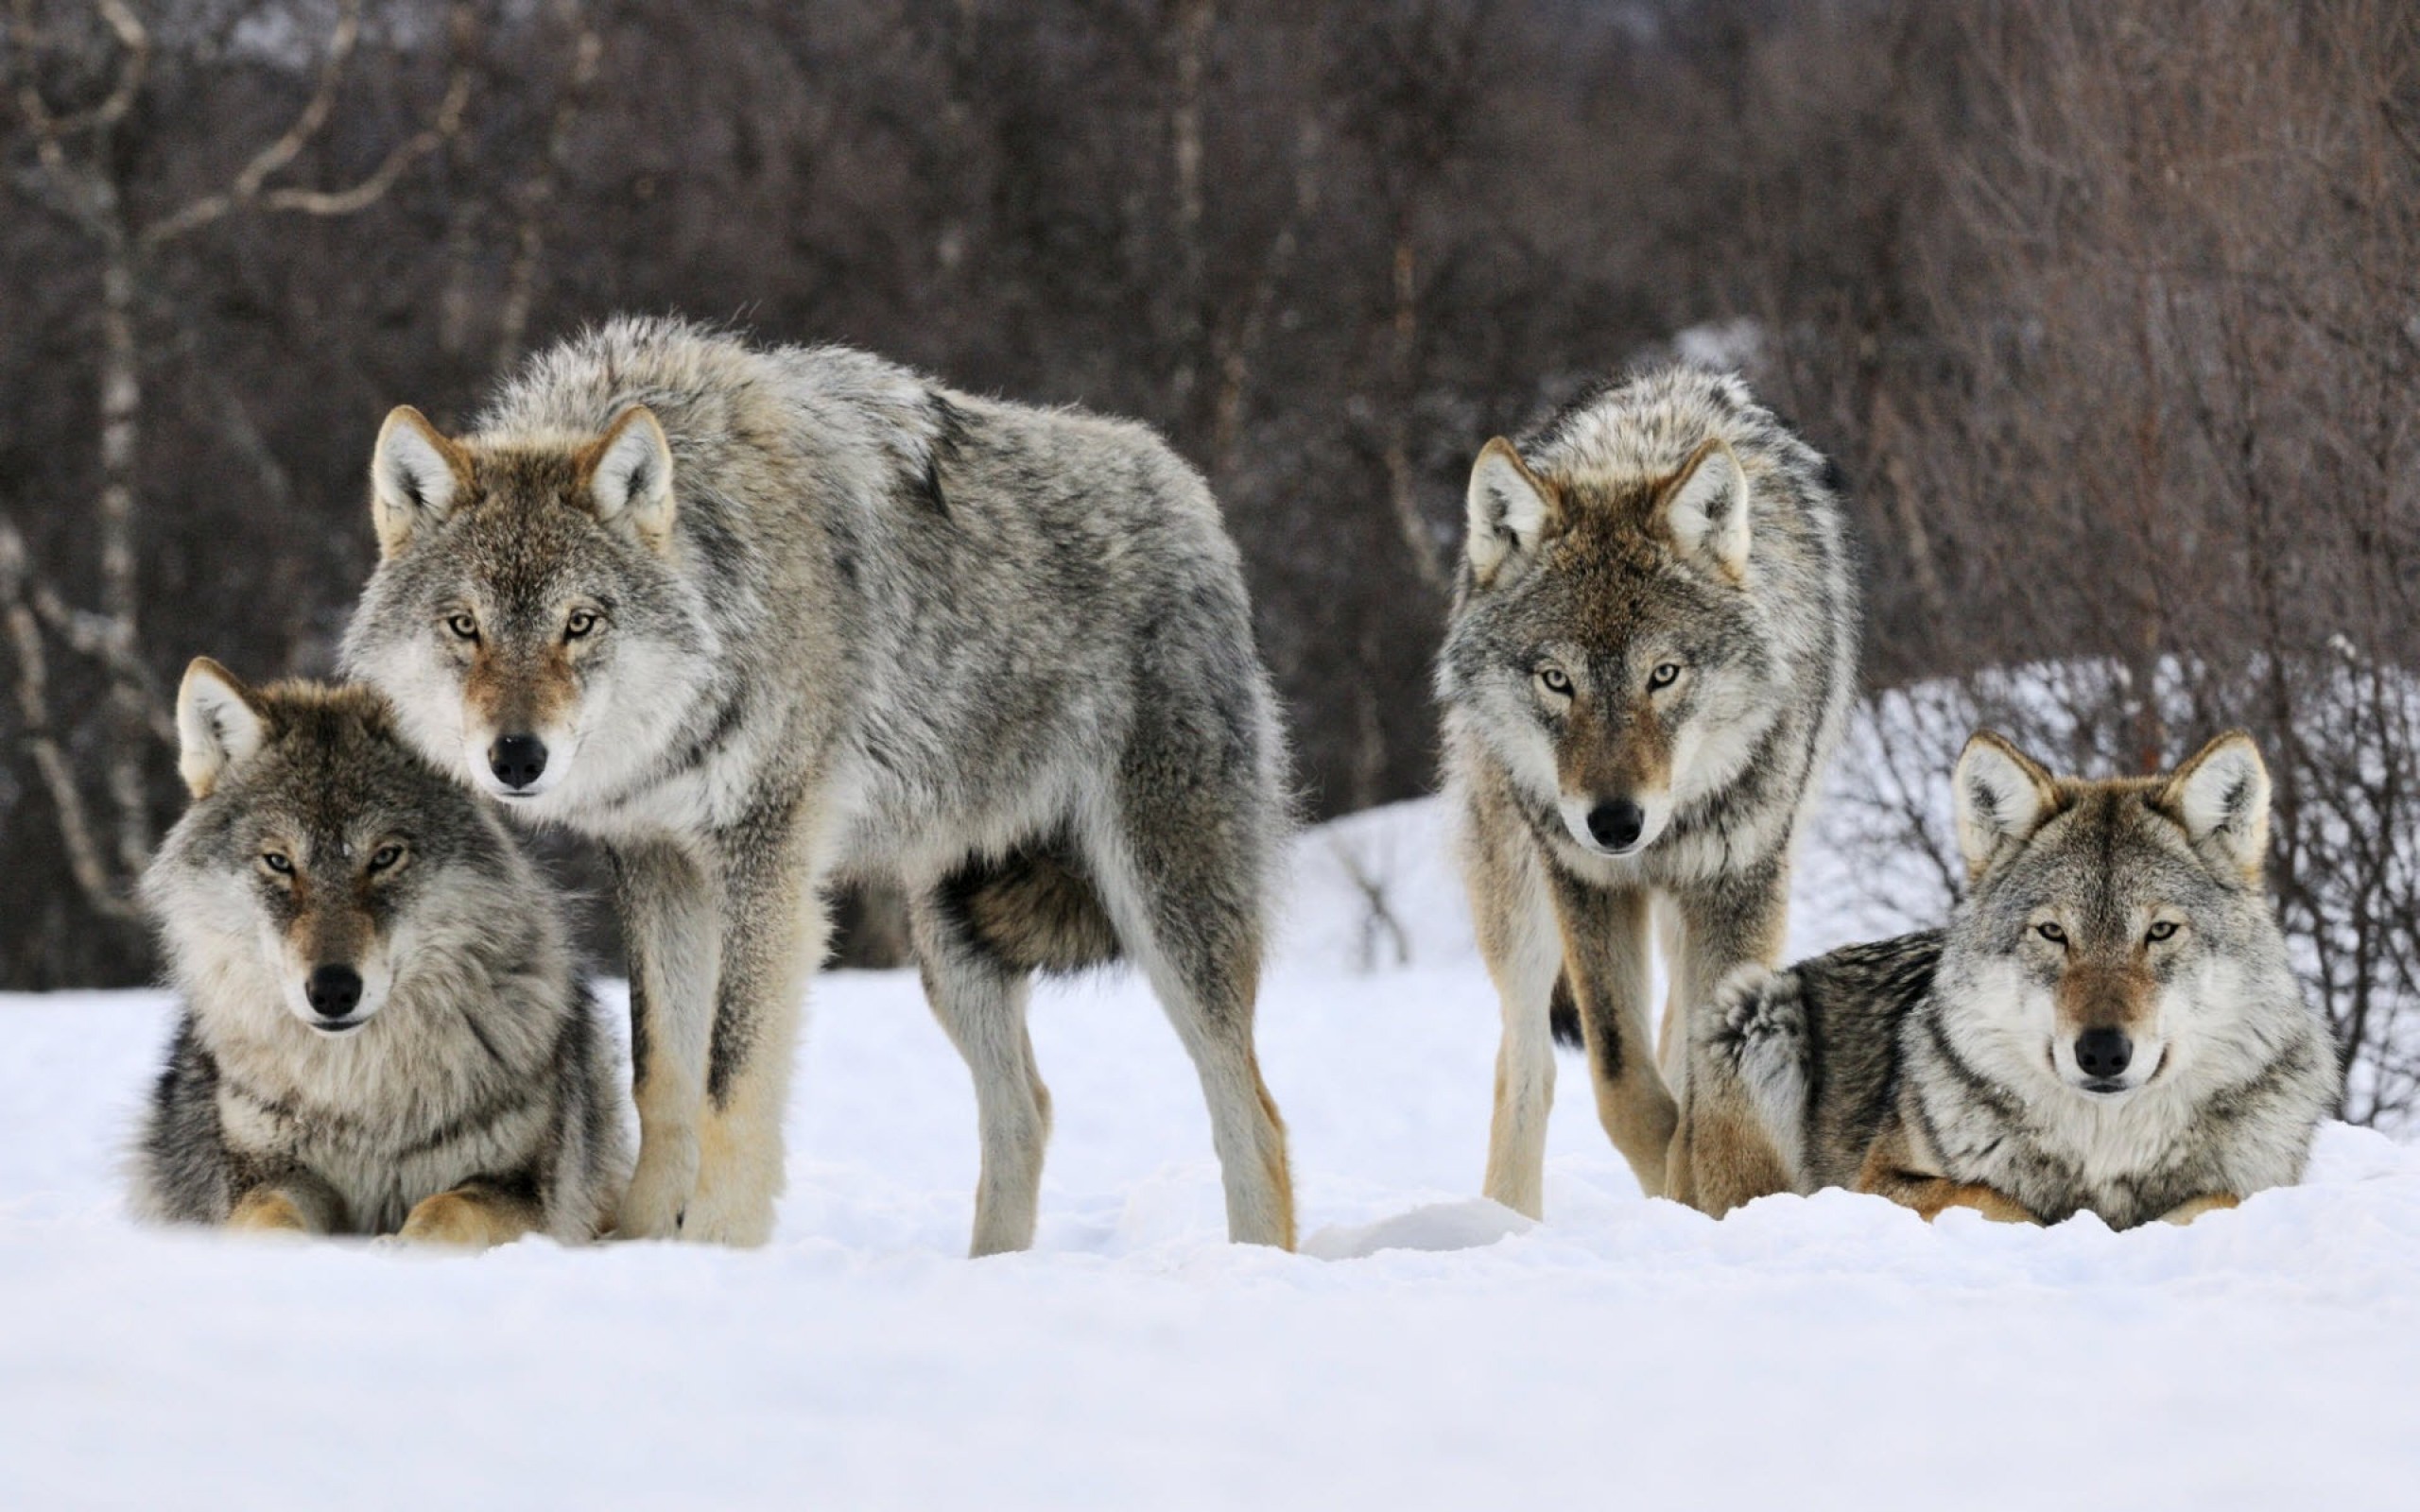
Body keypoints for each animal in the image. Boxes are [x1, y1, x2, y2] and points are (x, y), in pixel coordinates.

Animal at [133, 658, 629, 1238]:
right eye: (279, 862)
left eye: (385, 856)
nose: (332, 990)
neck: (361, 1095)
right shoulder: (268, 1173)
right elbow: (269, 1219)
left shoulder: (518, 1187)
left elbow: (444, 1210)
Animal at [340, 314, 1297, 1247]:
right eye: (465, 625)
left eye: (580, 623)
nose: (516, 758)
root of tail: (1190, 493)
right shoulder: (658, 863)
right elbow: (663, 1078)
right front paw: (642, 1244)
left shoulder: (767, 861)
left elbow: (730, 1083)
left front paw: (714, 1251)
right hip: (953, 943)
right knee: (1026, 1110)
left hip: (1165, 909)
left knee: (1254, 1117)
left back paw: (1253, 1264)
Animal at [1432, 365, 1848, 1214]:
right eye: (1557, 680)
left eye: (1664, 674)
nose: (1616, 823)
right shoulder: (1587, 882)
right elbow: (1623, 1084)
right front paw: (1675, 1190)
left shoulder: (1740, 883)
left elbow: (1704, 1086)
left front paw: (1707, 1192)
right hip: (1517, 896)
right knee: (1526, 1062)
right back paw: (1504, 1221)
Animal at [1703, 730, 2342, 1228]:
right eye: (2053, 933)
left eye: (2160, 931)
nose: (2102, 1052)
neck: (2105, 1151)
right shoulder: (1879, 1181)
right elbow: (1997, 1200)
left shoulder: (2259, 1185)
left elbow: (2215, 1200)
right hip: (1755, 1011)